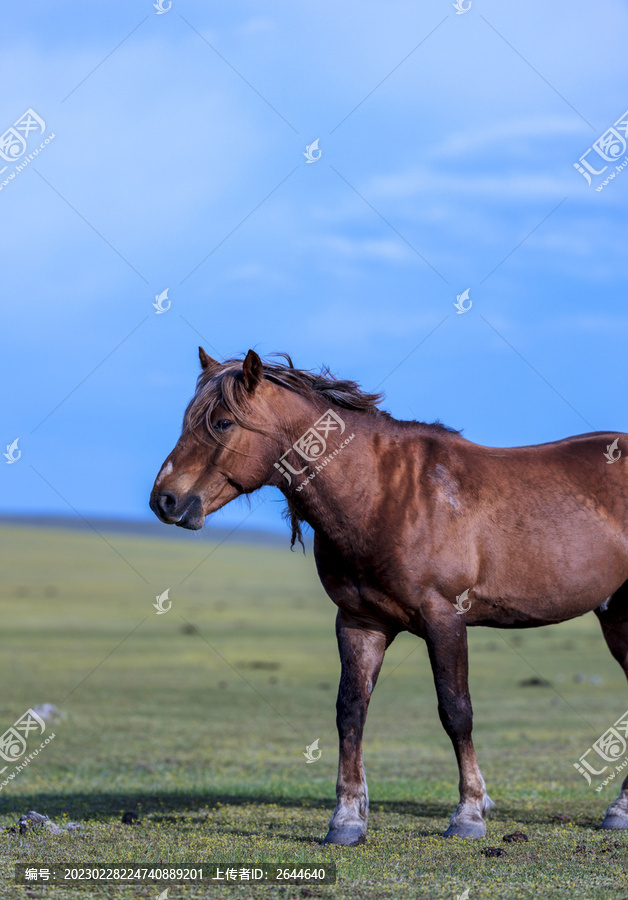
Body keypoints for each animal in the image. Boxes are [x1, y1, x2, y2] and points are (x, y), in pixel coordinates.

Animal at [151, 350, 628, 844]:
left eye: (222, 423)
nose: (164, 501)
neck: (381, 494)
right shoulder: (360, 623)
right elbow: (350, 712)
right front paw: (347, 818)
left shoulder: (444, 619)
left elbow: (456, 712)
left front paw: (469, 812)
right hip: (616, 614)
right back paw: (619, 809)